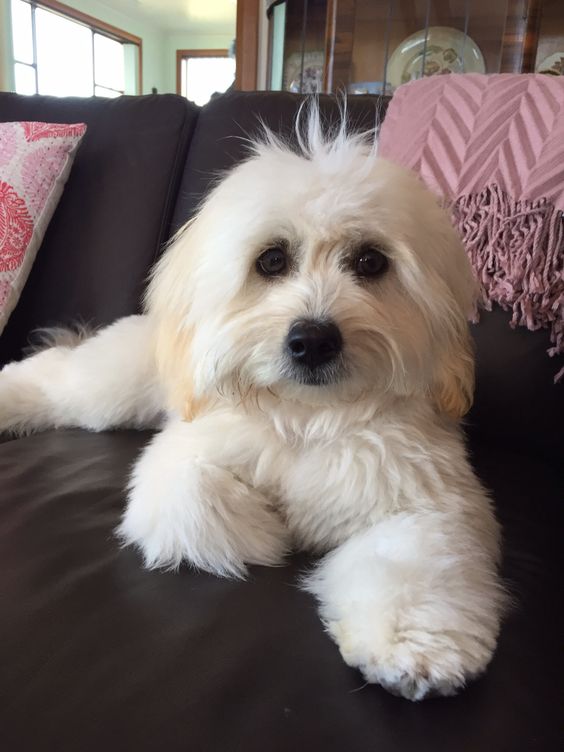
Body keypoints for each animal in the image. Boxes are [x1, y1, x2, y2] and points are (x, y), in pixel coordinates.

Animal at [0, 104, 502, 700]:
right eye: (271, 260)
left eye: (370, 261)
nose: (313, 340)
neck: (306, 414)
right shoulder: (187, 450)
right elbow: (193, 503)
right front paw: (269, 531)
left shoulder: (423, 498)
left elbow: (415, 560)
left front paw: (410, 648)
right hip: (111, 385)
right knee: (55, 378)